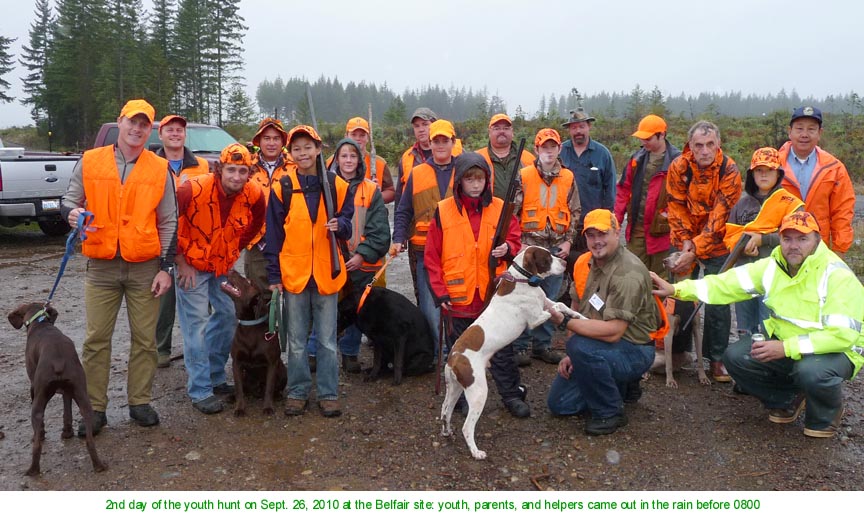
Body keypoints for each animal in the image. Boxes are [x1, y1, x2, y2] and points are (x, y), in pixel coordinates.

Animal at [8, 302, 106, 474]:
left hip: (38, 401)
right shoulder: (67, 391)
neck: (41, 324)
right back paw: (98, 465)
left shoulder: (33, 388)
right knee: (90, 440)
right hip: (83, 397)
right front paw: (67, 433)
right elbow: (67, 413)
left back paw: (33, 469)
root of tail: (58, 360)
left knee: (37, 442)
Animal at [219, 270, 286, 414]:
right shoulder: (236, 363)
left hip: (283, 370)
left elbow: (269, 388)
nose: (231, 270)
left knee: (274, 388)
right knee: (244, 388)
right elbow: (239, 389)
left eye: (249, 282)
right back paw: (231, 397)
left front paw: (268, 407)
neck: (249, 325)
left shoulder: (272, 363)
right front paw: (239, 408)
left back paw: (277, 395)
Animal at [442, 246, 584, 458]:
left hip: (455, 388)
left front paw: (581, 316)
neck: (523, 281)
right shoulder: (535, 318)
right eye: (547, 258)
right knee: (467, 427)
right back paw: (476, 452)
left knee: (445, 411)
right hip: (478, 392)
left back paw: (446, 432)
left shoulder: (546, 302)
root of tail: (453, 358)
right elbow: (557, 308)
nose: (566, 262)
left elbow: (562, 305)